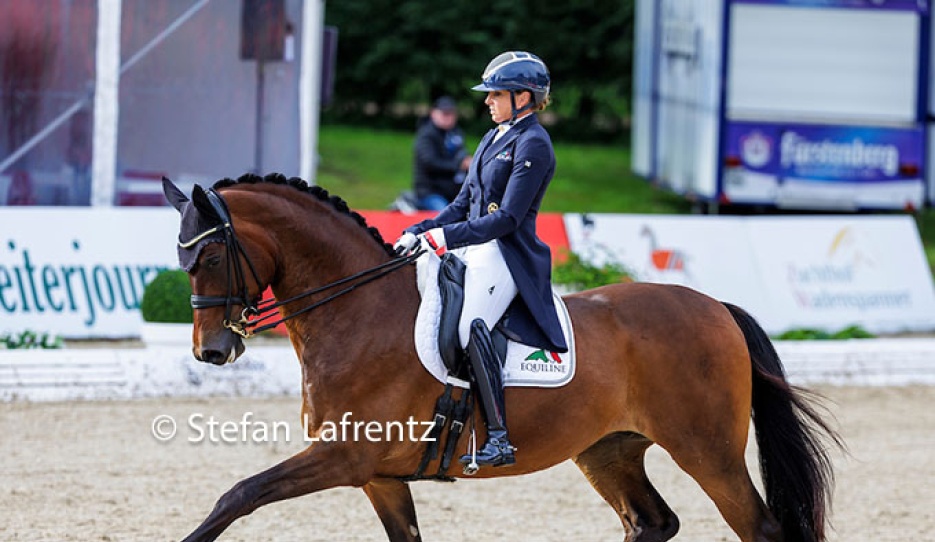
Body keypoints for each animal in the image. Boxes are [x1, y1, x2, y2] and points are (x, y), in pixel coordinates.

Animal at [165, 174, 844, 542]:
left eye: (210, 256)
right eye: (182, 259)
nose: (211, 350)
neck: (357, 310)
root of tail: (714, 306)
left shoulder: (342, 457)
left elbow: (238, 495)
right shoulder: (378, 475)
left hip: (708, 451)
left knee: (759, 527)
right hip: (608, 450)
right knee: (650, 521)